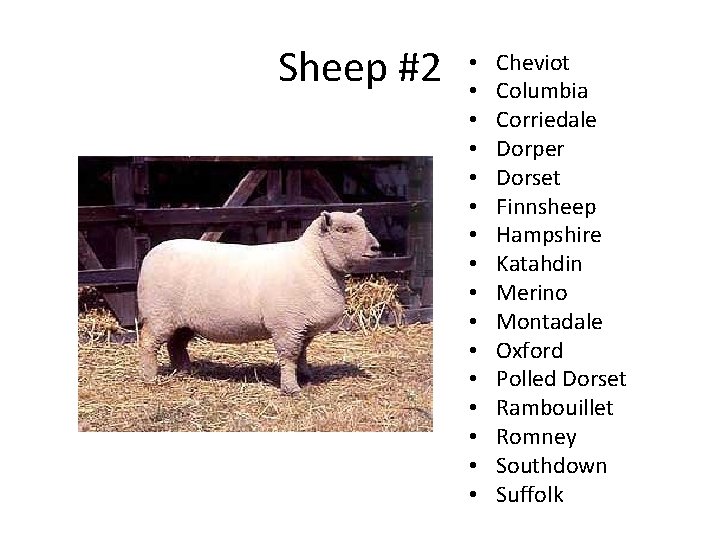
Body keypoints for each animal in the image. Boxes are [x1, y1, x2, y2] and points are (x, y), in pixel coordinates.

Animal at [136, 209, 380, 394]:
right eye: (343, 230)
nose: (376, 248)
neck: (314, 261)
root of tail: (152, 253)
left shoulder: (303, 326)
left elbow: (302, 354)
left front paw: (305, 376)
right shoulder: (287, 325)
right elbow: (289, 356)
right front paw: (292, 389)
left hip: (183, 320)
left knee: (176, 344)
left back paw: (185, 372)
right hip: (159, 314)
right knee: (149, 344)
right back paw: (150, 378)